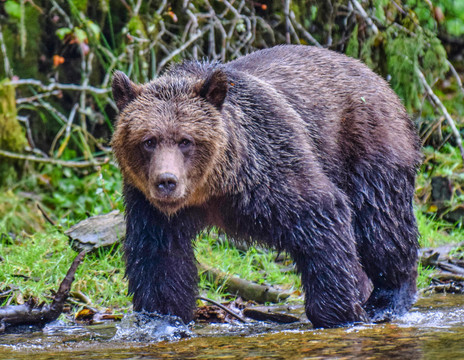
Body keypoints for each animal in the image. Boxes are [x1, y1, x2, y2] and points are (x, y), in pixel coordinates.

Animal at [110, 43, 422, 328]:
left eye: (186, 140)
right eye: (148, 141)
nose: (167, 182)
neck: (214, 187)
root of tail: (375, 75)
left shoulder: (271, 168)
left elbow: (321, 217)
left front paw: (338, 314)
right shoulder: (150, 206)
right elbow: (160, 258)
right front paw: (161, 319)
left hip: (367, 143)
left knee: (381, 222)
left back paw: (385, 299)